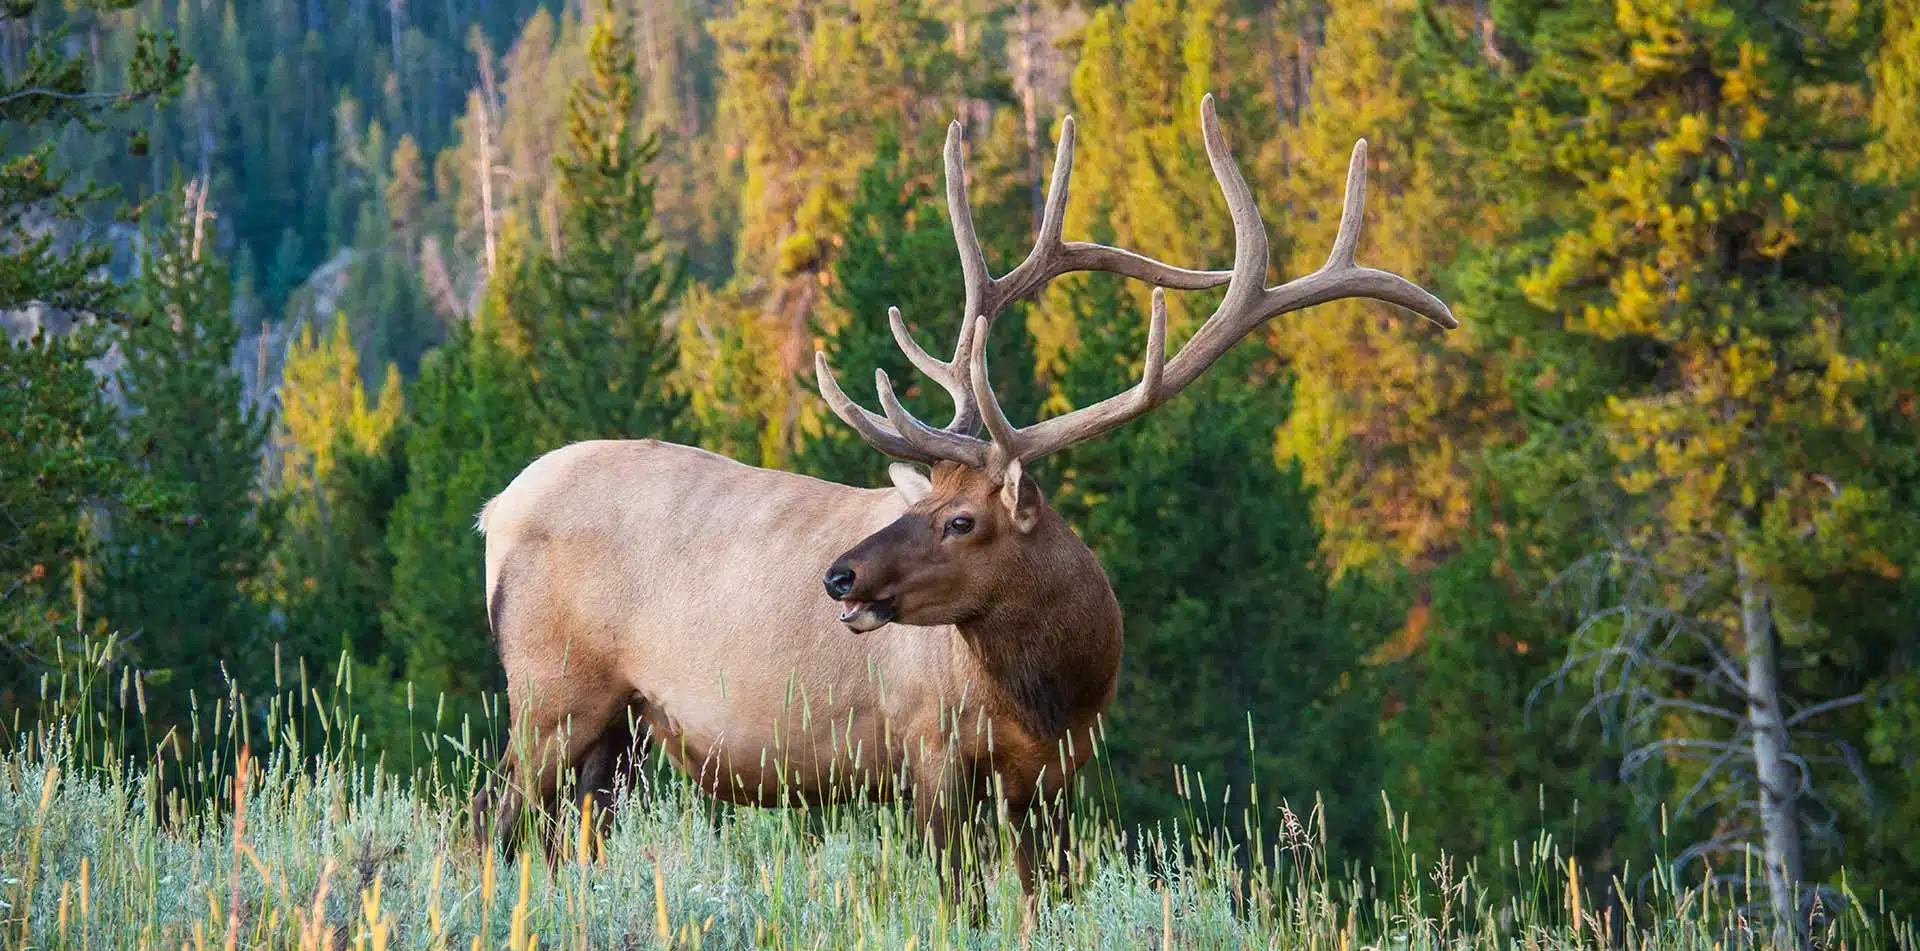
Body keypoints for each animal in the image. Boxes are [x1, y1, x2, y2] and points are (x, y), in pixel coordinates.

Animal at [472, 95, 1443, 906]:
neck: (1052, 685)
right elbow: (958, 898)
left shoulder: (1056, 772)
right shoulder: (927, 747)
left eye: (959, 518)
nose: (839, 576)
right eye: (925, 503)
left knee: (567, 838)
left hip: (622, 727)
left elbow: (1046, 898)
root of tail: (494, 511)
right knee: (495, 822)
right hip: (551, 688)